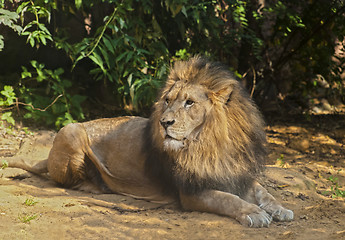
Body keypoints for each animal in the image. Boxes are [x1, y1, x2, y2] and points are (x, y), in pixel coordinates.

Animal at [5, 55, 292, 227]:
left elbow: (263, 191)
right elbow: (227, 199)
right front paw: (254, 213)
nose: (164, 122)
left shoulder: (237, 174)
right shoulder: (191, 192)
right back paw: (95, 185)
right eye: (167, 100)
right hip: (71, 130)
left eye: (190, 103)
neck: (210, 143)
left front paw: (280, 209)